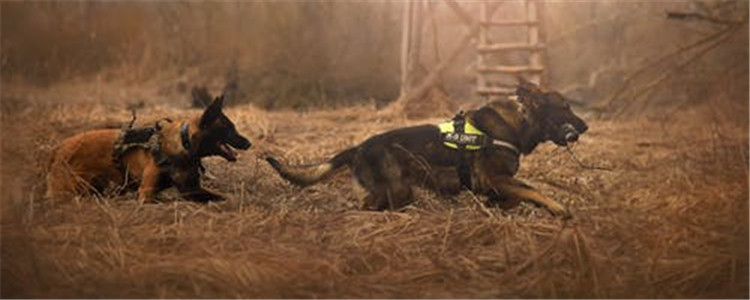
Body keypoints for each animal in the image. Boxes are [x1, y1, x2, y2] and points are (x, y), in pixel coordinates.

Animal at [47, 94, 253, 203]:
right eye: (229, 129)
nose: (249, 143)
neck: (183, 143)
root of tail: (58, 148)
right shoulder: (146, 193)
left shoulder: (191, 190)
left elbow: (220, 196)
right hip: (71, 190)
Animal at [268, 78, 592, 218]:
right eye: (565, 107)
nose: (586, 126)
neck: (520, 121)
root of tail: (359, 146)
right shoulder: (494, 178)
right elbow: (533, 190)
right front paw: (558, 208)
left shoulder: (495, 183)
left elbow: (516, 195)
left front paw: (497, 205)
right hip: (395, 190)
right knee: (365, 206)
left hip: (401, 192)